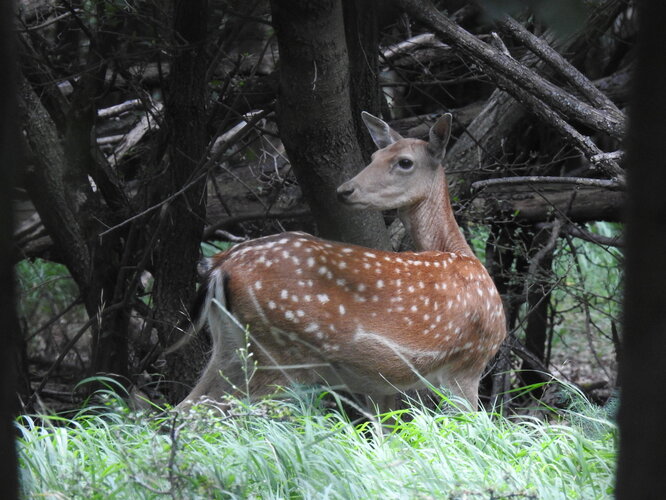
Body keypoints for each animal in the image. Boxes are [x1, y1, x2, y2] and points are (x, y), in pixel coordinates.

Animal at [176, 111, 504, 412]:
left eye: (405, 162)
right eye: (374, 155)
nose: (346, 190)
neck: (461, 253)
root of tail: (220, 267)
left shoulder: (381, 386)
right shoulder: (470, 361)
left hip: (228, 346)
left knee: (186, 408)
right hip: (276, 354)